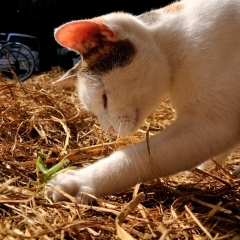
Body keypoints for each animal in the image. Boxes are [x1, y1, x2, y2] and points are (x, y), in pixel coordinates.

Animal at [45, 0, 240, 203]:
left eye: (104, 98)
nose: (110, 130)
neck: (176, 38)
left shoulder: (210, 123)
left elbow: (137, 156)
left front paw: (78, 181)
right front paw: (203, 169)